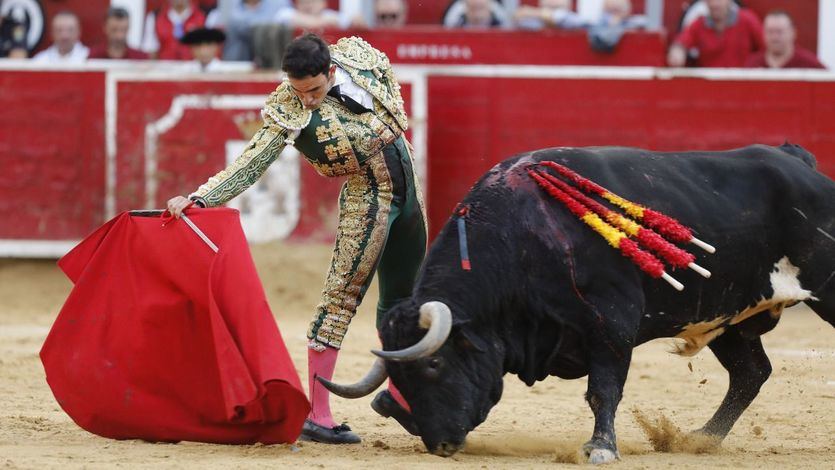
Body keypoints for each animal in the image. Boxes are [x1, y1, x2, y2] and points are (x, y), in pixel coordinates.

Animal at [316, 145, 832, 464]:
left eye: (434, 365)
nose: (438, 442)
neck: (523, 238)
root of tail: (798, 161)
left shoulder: (612, 324)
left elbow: (603, 389)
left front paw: (600, 448)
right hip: (730, 318)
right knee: (751, 373)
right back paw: (700, 439)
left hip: (825, 289)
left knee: (752, 372)